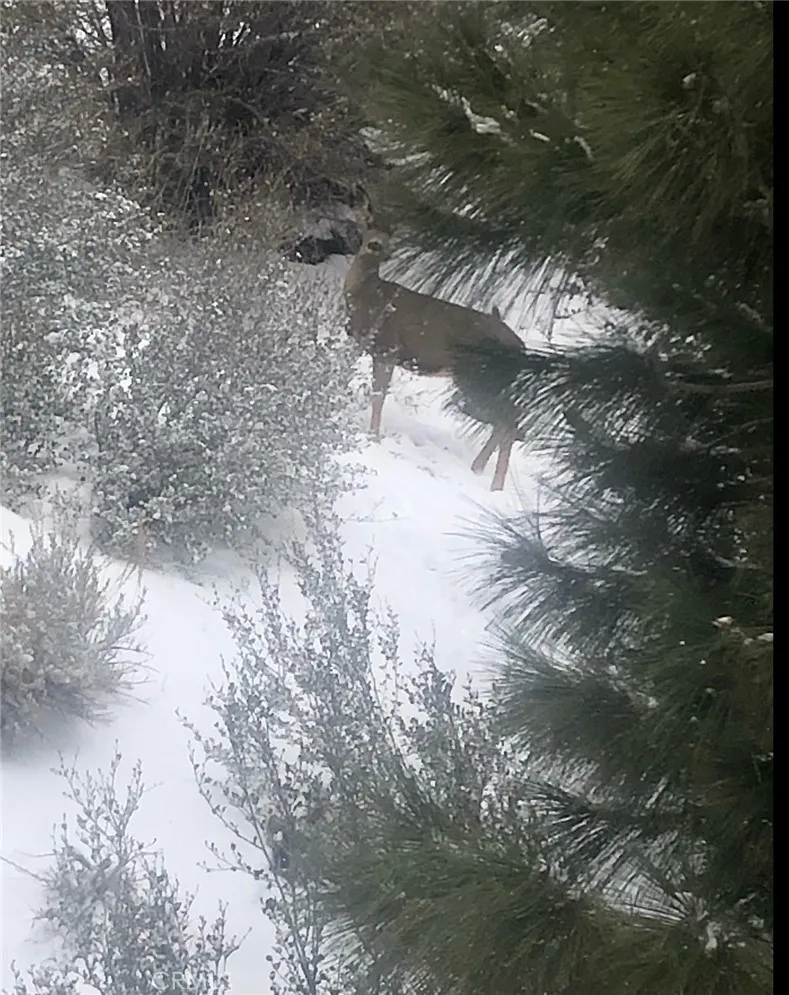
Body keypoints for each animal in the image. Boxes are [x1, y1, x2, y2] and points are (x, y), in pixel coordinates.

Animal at [343, 227, 525, 491]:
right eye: (369, 225)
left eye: (390, 234)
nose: (375, 246)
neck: (367, 295)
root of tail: (522, 348)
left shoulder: (388, 349)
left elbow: (378, 396)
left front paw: (373, 437)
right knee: (505, 422)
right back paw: (478, 469)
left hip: (480, 379)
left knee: (508, 421)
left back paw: (495, 485)